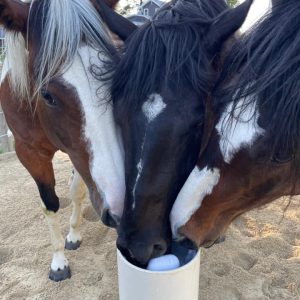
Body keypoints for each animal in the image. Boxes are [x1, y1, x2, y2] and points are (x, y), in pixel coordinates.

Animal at [0, 0, 135, 282]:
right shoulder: (28, 152)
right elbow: (50, 204)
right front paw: (58, 262)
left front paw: (73, 235)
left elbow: (78, 191)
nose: (123, 208)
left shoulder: (78, 155)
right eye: (47, 95)